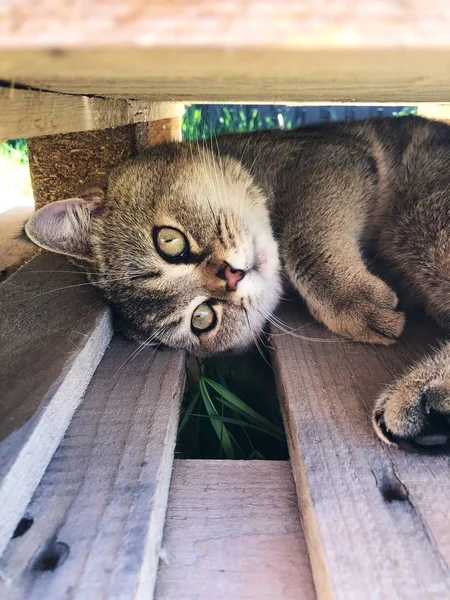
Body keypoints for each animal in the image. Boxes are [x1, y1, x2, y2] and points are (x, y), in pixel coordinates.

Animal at [24, 116, 450, 454]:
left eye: (169, 242)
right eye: (202, 319)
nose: (231, 276)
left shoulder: (327, 158)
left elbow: (301, 237)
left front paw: (353, 301)